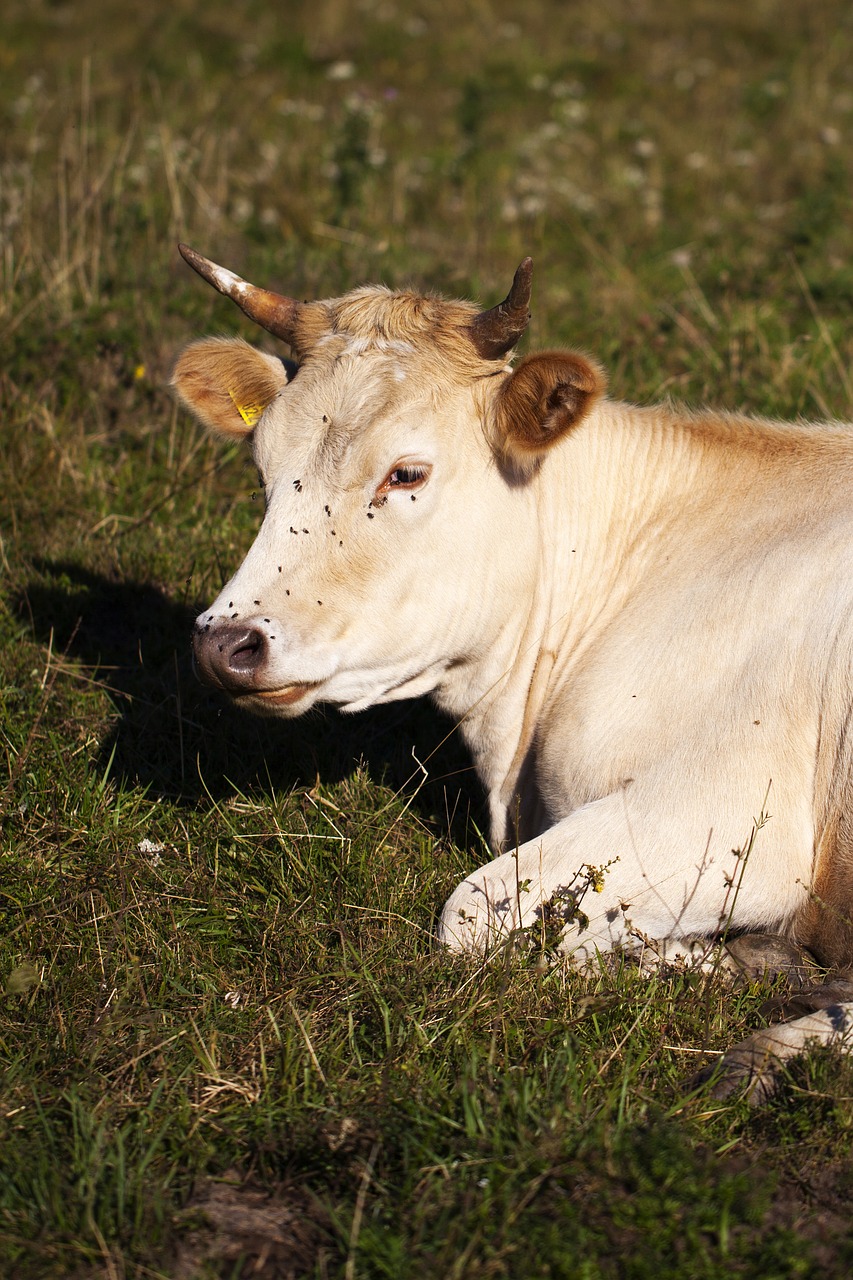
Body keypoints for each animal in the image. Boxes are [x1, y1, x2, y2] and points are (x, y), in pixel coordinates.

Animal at [171, 247, 850, 1100]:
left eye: (406, 473)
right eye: (263, 469)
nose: (224, 643)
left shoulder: (729, 817)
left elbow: (470, 915)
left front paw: (707, 961)